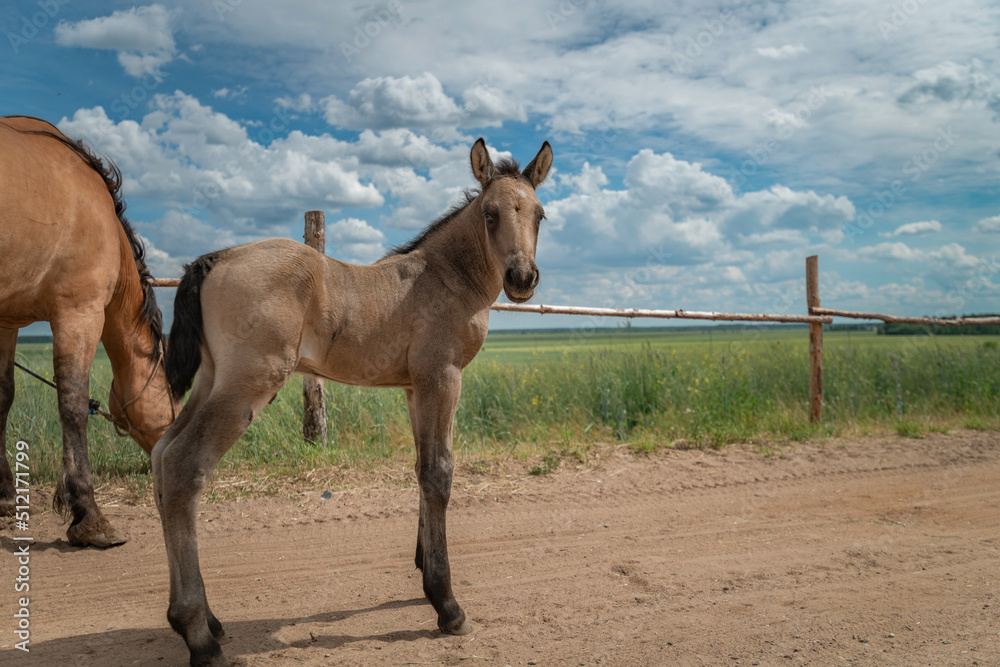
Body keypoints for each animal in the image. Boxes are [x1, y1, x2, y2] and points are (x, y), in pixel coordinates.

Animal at [0, 116, 180, 547]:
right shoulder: (78, 311)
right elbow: (73, 404)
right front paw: (89, 515)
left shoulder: (7, 321)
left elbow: (3, 395)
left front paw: (4, 496)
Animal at [153, 138, 552, 666]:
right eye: (490, 215)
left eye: (540, 215)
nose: (522, 277)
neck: (446, 277)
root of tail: (215, 258)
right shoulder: (442, 377)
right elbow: (440, 473)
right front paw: (446, 604)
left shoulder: (413, 387)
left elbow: (421, 467)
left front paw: (424, 569)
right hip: (249, 384)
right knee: (183, 467)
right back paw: (198, 634)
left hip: (213, 379)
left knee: (161, 454)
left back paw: (209, 621)